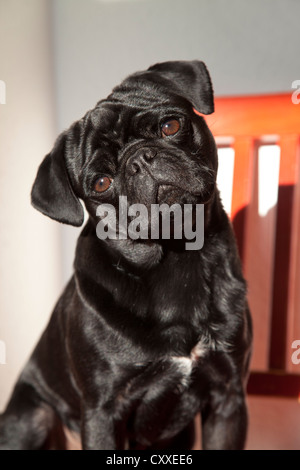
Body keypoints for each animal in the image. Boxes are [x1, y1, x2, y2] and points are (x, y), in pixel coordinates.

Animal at [0, 60, 252, 450]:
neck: (177, 258)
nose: (139, 159)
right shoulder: (103, 412)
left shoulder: (228, 396)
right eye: (101, 183)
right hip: (31, 420)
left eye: (170, 126)